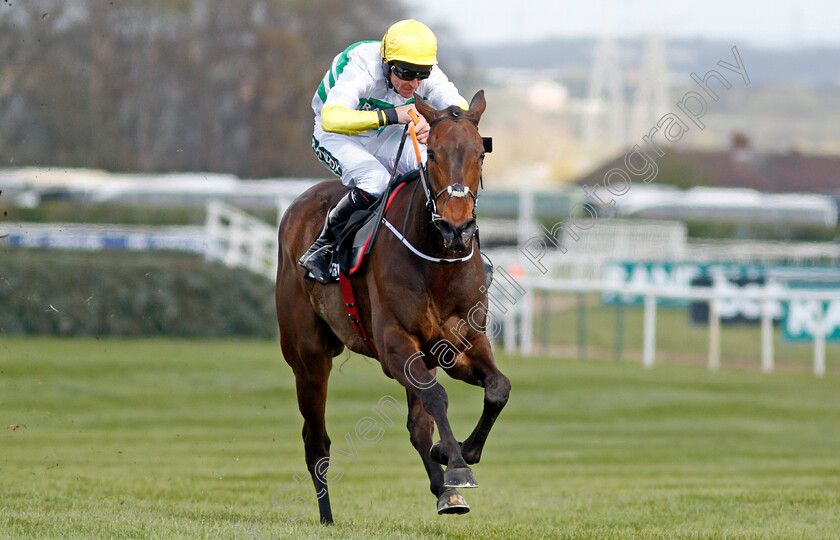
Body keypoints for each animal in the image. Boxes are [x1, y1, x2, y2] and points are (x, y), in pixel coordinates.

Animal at [278, 89, 512, 524]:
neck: (438, 261)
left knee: (417, 426)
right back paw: (326, 516)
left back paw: (445, 491)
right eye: (432, 153)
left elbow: (497, 389)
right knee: (316, 440)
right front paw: (457, 465)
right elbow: (438, 397)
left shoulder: (460, 345)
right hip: (307, 356)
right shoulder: (395, 346)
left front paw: (458, 456)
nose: (457, 229)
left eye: (480, 154)